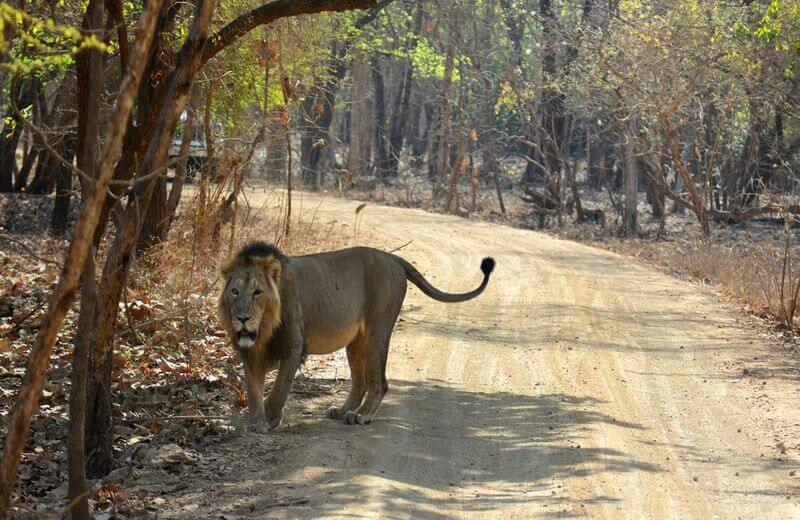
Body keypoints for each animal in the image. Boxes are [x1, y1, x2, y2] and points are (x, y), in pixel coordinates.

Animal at [219, 244, 494, 430]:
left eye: (257, 292)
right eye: (234, 291)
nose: (242, 318)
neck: (263, 328)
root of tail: (392, 257)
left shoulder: (294, 347)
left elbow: (278, 390)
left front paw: (272, 417)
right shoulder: (250, 352)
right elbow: (253, 390)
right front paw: (256, 421)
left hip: (376, 332)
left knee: (380, 382)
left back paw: (362, 415)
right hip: (355, 340)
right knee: (360, 382)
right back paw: (342, 411)